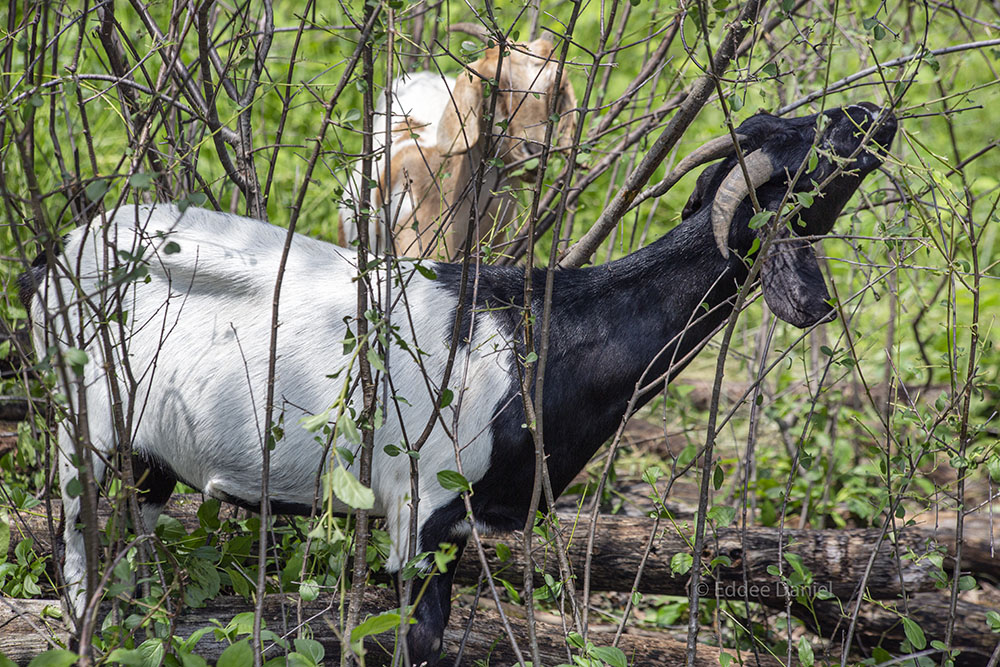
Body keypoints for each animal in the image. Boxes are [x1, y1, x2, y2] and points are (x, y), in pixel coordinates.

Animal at [25, 102, 900, 664]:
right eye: (803, 150)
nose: (871, 109)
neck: (542, 336)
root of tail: (58, 252)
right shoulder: (418, 506)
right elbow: (418, 638)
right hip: (79, 430)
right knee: (73, 545)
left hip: (147, 458)